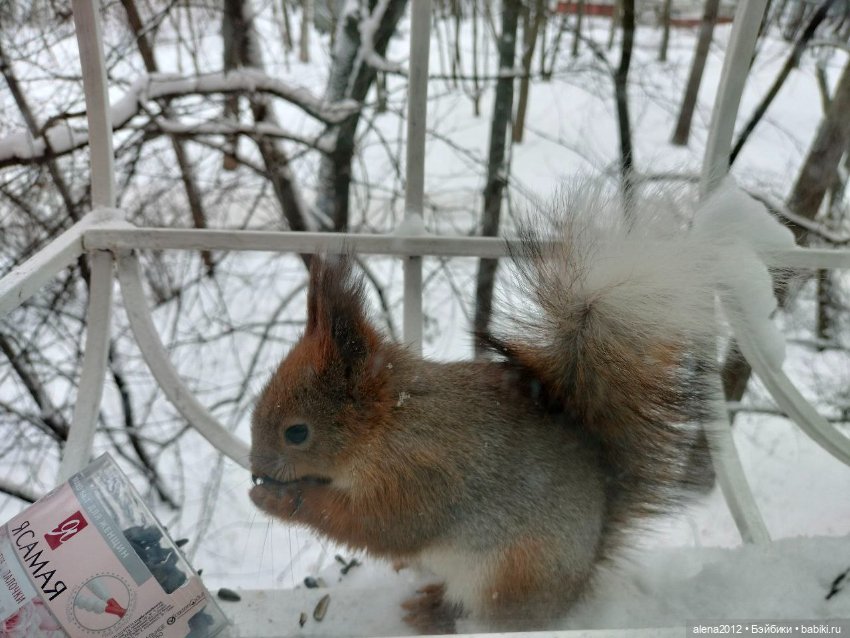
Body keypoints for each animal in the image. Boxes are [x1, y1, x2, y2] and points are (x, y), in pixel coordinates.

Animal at [247, 191, 724, 636]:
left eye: (296, 433)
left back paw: (438, 615)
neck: (388, 422)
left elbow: (377, 526)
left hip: (510, 575)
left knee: (491, 617)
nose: (254, 471)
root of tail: (579, 583)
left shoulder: (421, 474)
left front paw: (280, 499)